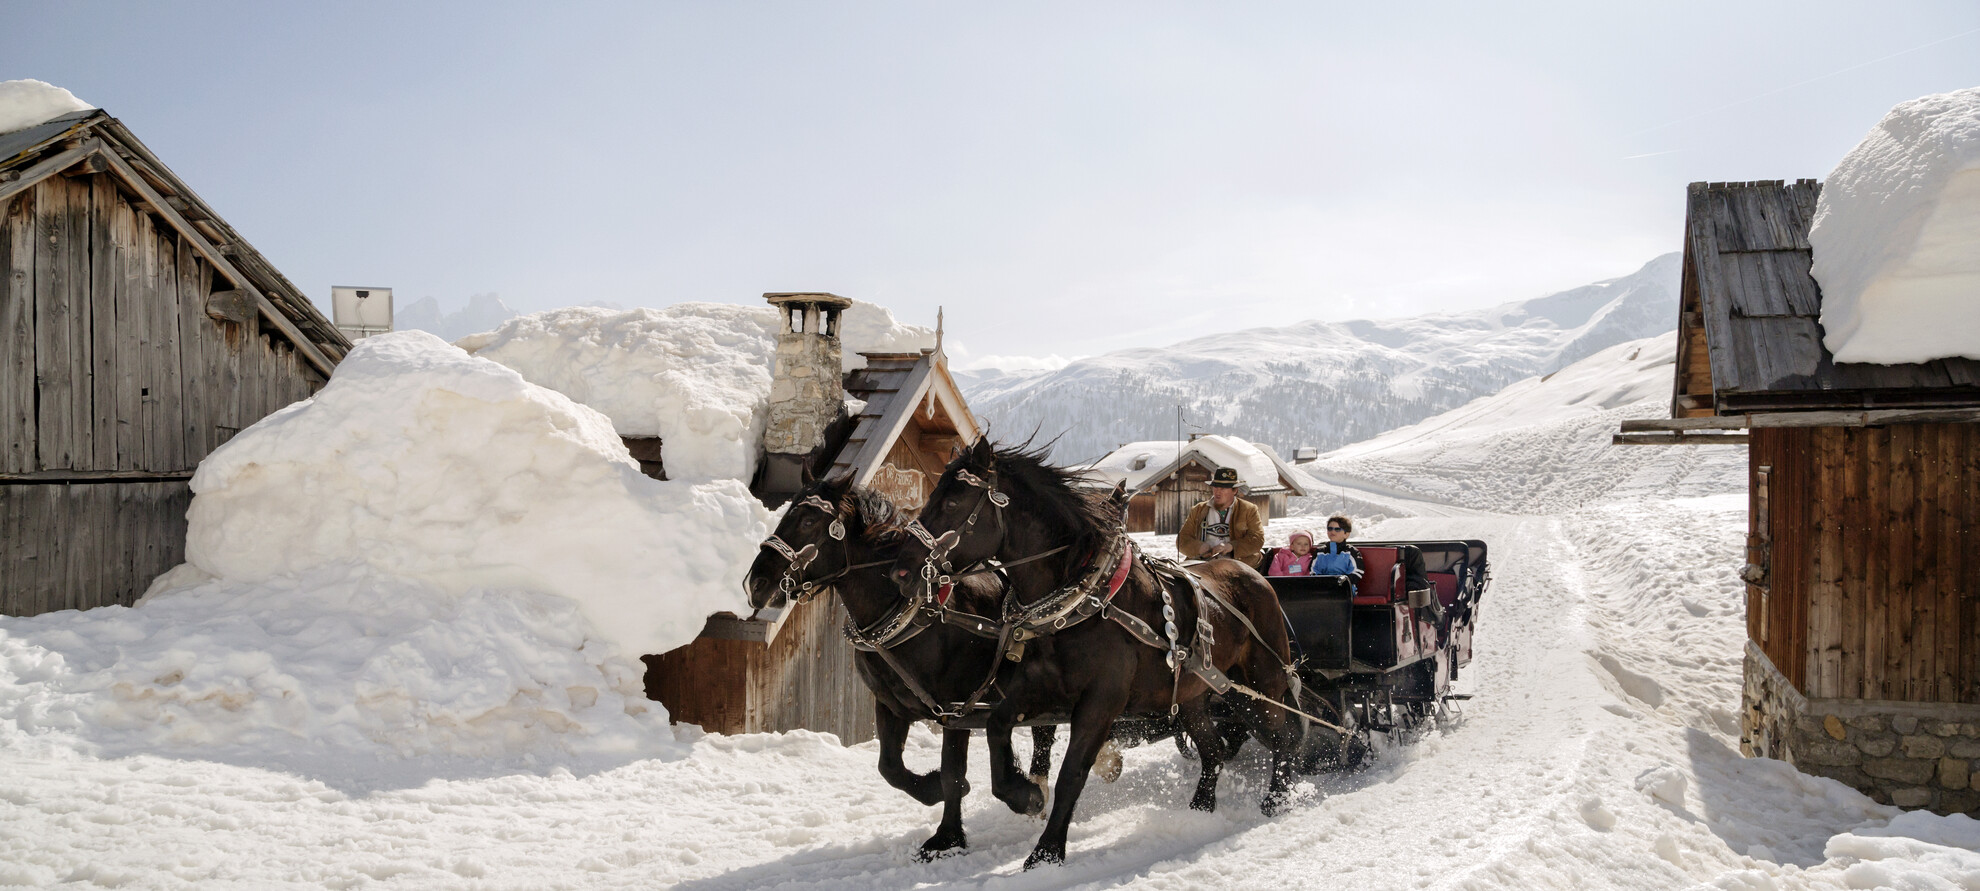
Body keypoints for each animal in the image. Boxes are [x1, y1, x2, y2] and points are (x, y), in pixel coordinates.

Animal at [740, 481, 1053, 863]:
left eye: (808, 521)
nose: (756, 584)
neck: (916, 614)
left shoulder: (956, 708)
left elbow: (953, 773)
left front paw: (947, 838)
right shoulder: (891, 705)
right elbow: (890, 768)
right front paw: (931, 788)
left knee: (1044, 734)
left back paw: (1036, 791)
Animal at [894, 437, 1298, 871]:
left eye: (952, 503)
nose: (901, 571)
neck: (1081, 603)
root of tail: (1255, 576)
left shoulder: (1101, 702)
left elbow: (1073, 772)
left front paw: (1047, 851)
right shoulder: (1039, 690)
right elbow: (997, 726)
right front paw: (1025, 795)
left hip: (1258, 687)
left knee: (1285, 737)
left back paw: (1279, 799)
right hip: (1193, 698)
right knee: (1214, 750)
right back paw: (1201, 808)